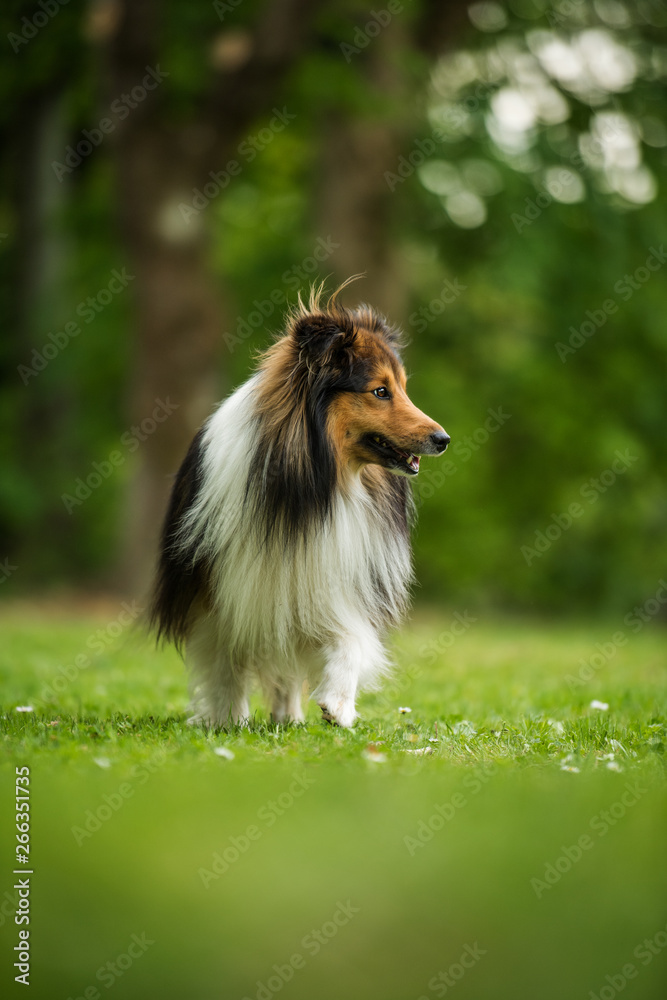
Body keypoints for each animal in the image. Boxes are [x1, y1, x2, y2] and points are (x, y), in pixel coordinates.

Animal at [149, 282, 452, 728]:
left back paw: (288, 716)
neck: (318, 484)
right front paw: (227, 718)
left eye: (402, 388)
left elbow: (348, 641)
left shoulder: (330, 572)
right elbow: (226, 659)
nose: (443, 439)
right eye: (381, 391)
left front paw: (337, 705)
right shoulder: (223, 586)